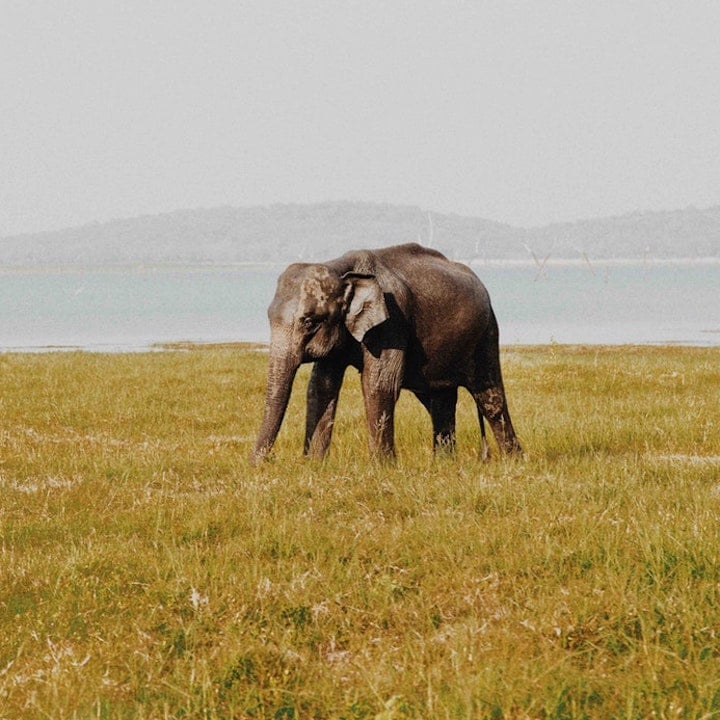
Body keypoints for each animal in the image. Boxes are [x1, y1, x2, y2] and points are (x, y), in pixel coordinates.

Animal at [250, 245, 520, 464]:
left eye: (309, 322)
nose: (264, 462)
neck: (341, 267)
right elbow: (321, 386)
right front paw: (314, 465)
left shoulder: (392, 320)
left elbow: (380, 384)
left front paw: (382, 467)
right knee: (439, 400)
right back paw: (445, 464)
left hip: (486, 332)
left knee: (489, 397)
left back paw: (513, 462)